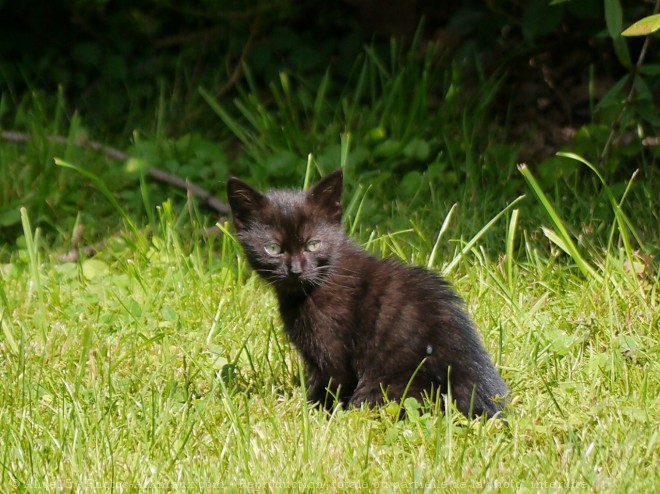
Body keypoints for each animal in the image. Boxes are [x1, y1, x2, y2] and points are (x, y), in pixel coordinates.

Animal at [228, 170, 510, 416]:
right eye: (273, 248)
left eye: (313, 244)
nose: (295, 270)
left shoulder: (332, 354)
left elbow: (329, 386)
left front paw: (313, 415)